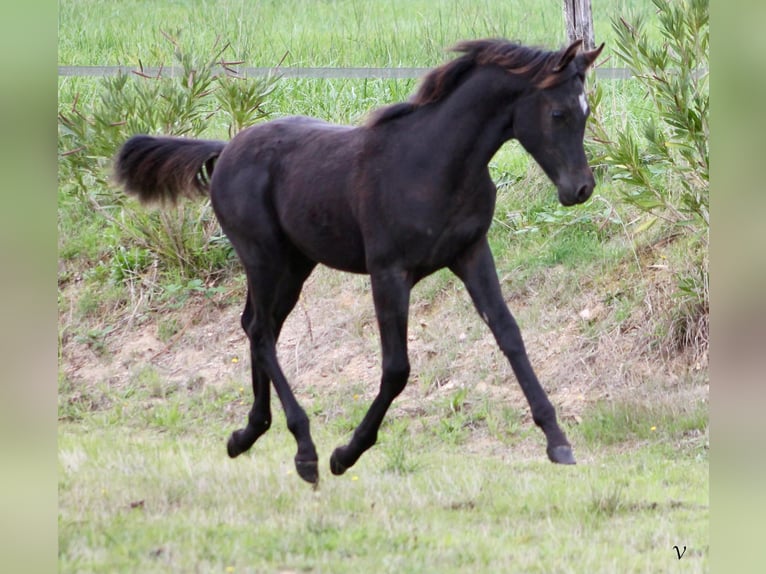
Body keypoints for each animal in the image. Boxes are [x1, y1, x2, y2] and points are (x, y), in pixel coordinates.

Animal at [114, 38, 604, 484]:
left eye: (585, 112)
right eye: (558, 113)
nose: (580, 189)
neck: (435, 164)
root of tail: (227, 150)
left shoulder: (471, 253)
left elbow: (509, 335)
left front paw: (557, 440)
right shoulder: (388, 272)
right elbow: (397, 368)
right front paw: (346, 453)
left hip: (294, 266)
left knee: (256, 326)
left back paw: (248, 433)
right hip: (263, 257)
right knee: (261, 332)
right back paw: (305, 449)